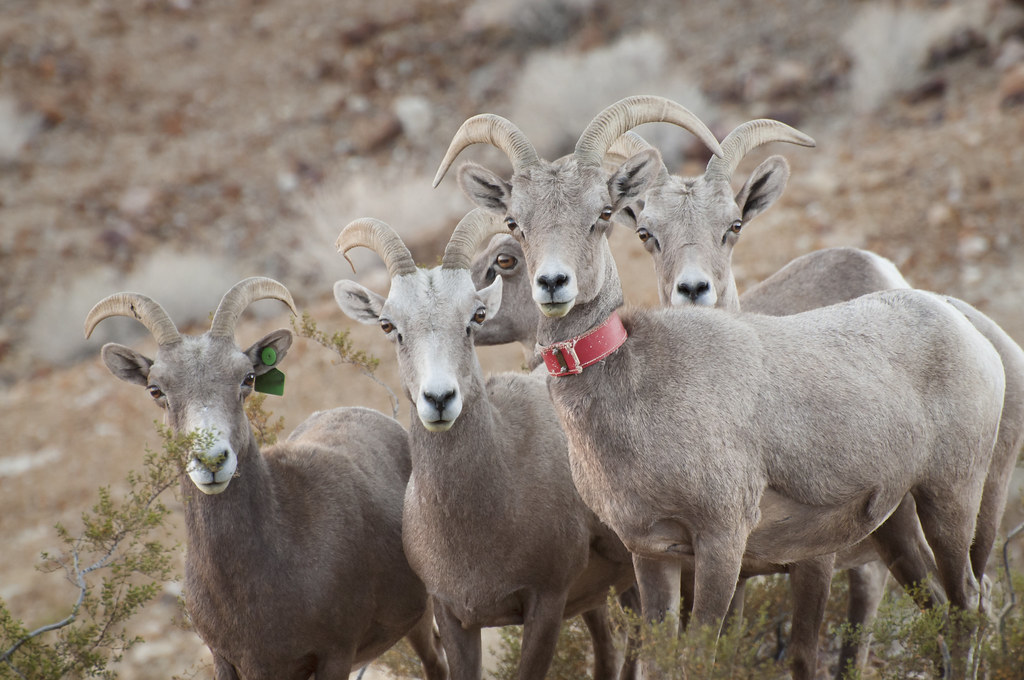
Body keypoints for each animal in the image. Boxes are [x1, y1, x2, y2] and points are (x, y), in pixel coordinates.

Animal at [433, 96, 1006, 679]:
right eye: (516, 223)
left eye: (602, 215)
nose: (553, 284)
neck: (638, 401)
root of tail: (964, 325)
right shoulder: (652, 556)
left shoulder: (722, 545)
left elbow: (702, 656)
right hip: (897, 526)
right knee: (942, 607)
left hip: (950, 497)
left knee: (970, 605)